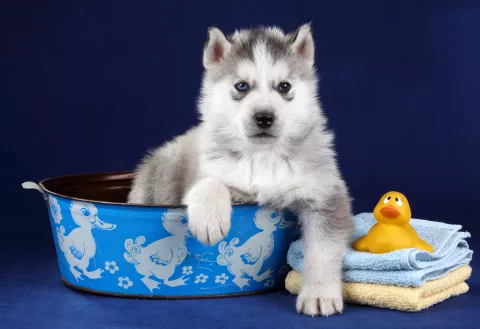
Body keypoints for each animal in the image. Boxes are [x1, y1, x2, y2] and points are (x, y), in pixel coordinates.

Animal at [127, 23, 352, 316]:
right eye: (241, 86)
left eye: (284, 86)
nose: (264, 117)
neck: (264, 156)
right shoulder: (211, 172)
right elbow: (210, 183)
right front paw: (210, 220)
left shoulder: (326, 195)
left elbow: (323, 250)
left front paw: (320, 294)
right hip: (163, 168)